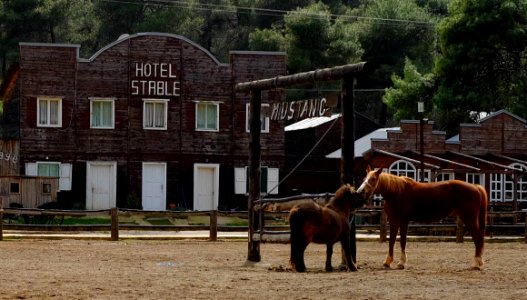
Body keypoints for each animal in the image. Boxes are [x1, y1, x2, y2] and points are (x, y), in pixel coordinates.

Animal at [356, 166, 488, 270]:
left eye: (373, 179)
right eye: (364, 179)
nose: (360, 192)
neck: (397, 192)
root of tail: (476, 187)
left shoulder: (404, 221)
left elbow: (402, 241)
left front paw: (401, 263)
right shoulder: (393, 221)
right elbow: (391, 241)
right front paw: (388, 261)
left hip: (469, 219)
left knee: (478, 239)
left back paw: (477, 264)